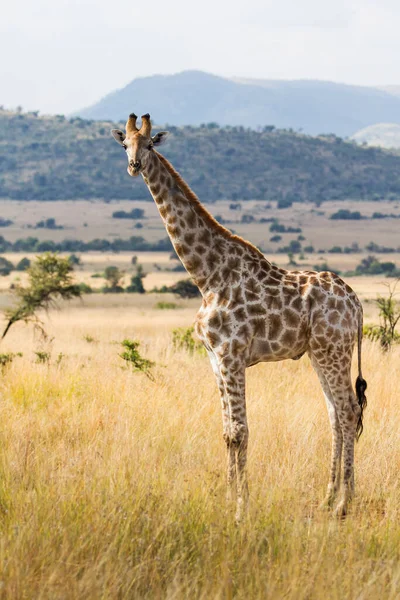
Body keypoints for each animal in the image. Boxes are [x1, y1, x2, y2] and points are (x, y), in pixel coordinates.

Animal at [111, 113, 368, 520]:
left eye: (150, 144)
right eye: (125, 144)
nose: (134, 166)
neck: (206, 275)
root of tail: (357, 304)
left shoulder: (232, 355)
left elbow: (240, 431)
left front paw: (240, 509)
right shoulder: (215, 358)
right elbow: (227, 432)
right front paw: (227, 500)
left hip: (334, 351)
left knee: (347, 411)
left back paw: (345, 505)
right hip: (321, 353)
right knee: (334, 414)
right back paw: (328, 498)